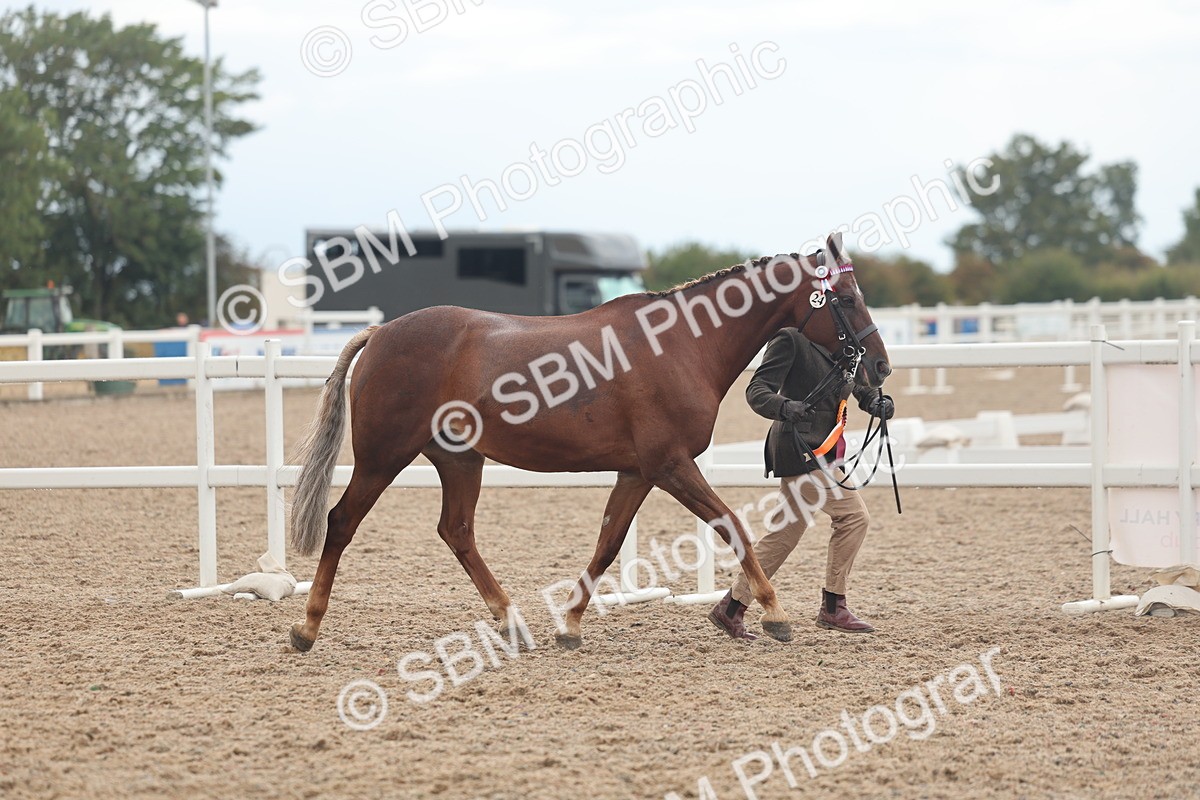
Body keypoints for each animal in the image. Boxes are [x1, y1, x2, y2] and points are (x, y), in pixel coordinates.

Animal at [287, 231, 891, 652]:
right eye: (846, 298)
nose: (879, 369)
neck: (681, 344)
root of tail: (380, 334)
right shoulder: (671, 466)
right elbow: (732, 527)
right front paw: (775, 615)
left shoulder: (638, 472)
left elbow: (608, 543)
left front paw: (571, 625)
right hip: (384, 457)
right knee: (342, 522)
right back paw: (306, 628)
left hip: (459, 461)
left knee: (456, 531)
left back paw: (512, 623)